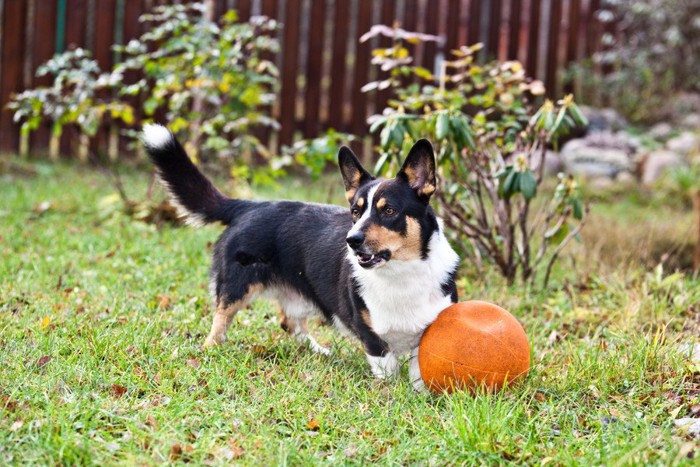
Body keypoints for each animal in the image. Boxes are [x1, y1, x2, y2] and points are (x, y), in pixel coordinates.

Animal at [142, 123, 460, 388]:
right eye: (355, 212)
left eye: (389, 210)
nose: (351, 241)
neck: (400, 273)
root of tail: (249, 206)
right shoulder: (372, 337)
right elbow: (387, 369)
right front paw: (392, 395)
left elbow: (419, 370)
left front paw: (419, 393)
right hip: (236, 286)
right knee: (219, 321)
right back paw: (211, 350)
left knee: (289, 322)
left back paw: (320, 351)